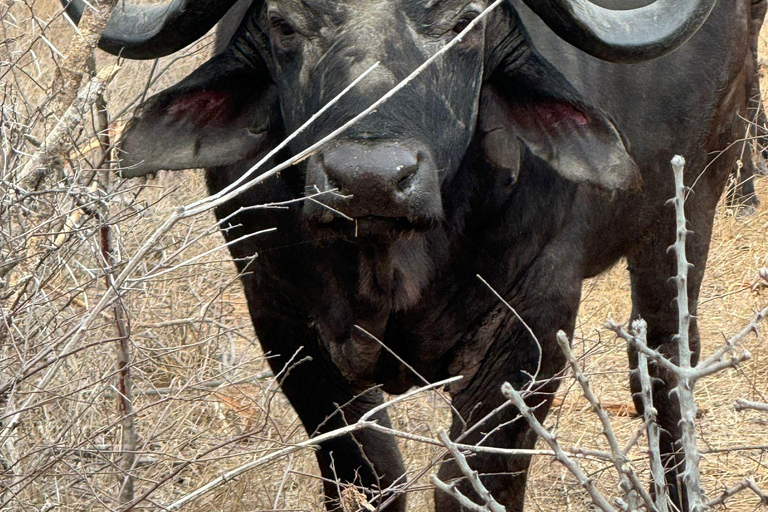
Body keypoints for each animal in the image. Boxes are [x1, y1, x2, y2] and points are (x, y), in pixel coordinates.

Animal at [64, 0, 752, 510]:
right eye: (285, 25)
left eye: (463, 22)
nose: (369, 179)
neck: (392, 263)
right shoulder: (280, 315)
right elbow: (373, 475)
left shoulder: (535, 318)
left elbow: (470, 482)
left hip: (691, 204)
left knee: (664, 368)